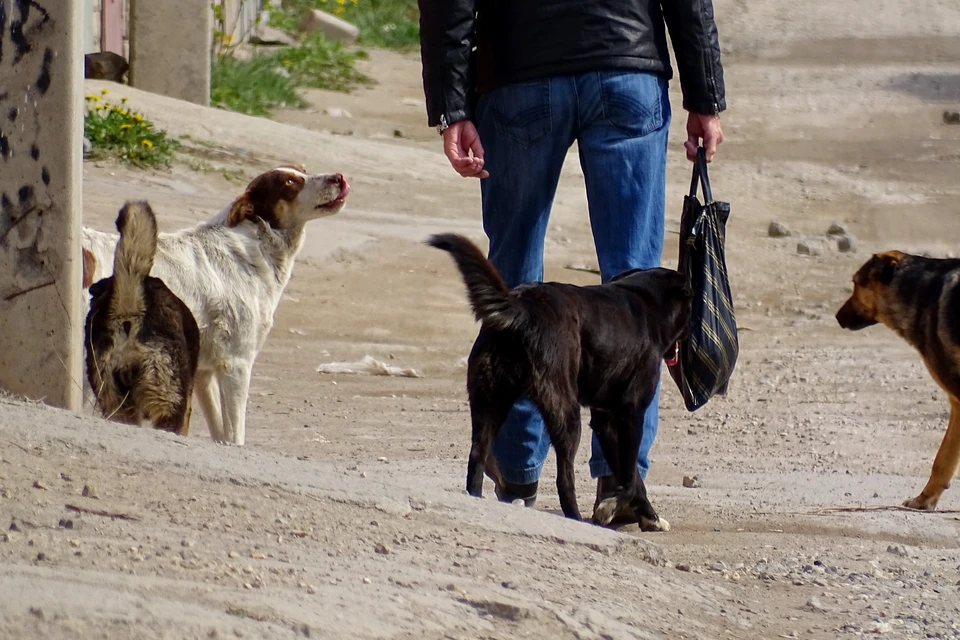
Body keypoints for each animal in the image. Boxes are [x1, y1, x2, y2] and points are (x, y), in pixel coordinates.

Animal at [428, 232, 688, 528]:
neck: (645, 299)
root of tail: (522, 306)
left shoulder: (606, 419)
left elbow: (630, 474)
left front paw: (647, 515)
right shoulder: (630, 415)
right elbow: (630, 477)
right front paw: (614, 507)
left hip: (489, 401)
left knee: (476, 458)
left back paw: (476, 500)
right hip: (565, 412)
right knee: (564, 479)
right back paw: (575, 517)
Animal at [836, 250, 960, 510]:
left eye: (856, 283)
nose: (837, 317)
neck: (921, 292)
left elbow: (942, 459)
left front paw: (924, 500)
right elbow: (945, 458)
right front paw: (926, 499)